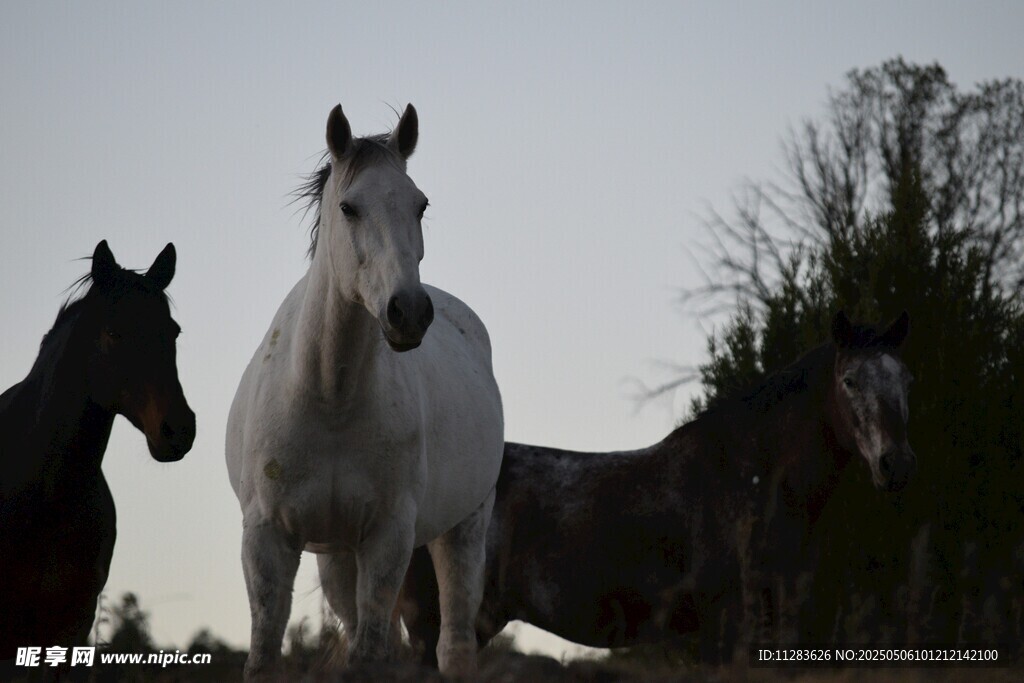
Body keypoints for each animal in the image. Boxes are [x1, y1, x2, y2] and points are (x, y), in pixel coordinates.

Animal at [226, 103, 504, 679]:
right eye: (349, 207)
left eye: (421, 204)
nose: (409, 311)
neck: (330, 397)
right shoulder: (267, 538)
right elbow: (265, 653)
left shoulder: (387, 535)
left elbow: (371, 654)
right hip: (335, 553)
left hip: (464, 529)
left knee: (454, 643)